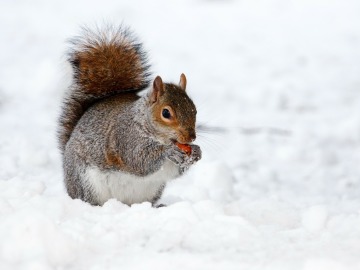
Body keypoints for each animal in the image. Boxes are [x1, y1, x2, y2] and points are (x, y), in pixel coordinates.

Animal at [57, 26, 201, 206]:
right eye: (166, 113)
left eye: (195, 109)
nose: (191, 137)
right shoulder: (125, 138)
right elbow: (139, 160)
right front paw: (169, 151)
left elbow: (174, 171)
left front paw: (196, 152)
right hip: (85, 182)